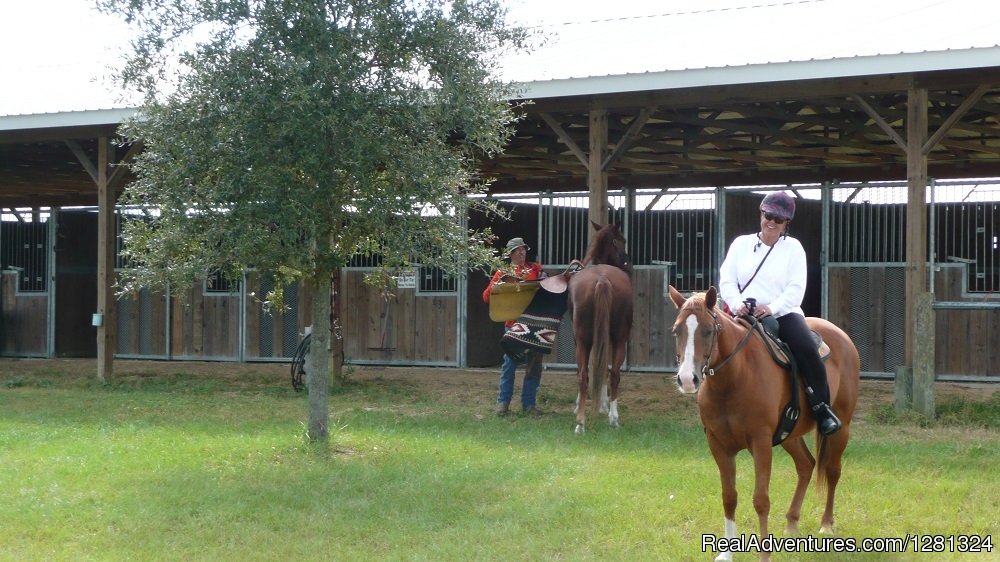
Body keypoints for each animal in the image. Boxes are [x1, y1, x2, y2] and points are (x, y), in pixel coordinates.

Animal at [572, 220, 632, 434]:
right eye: (622, 240)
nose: (628, 264)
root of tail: (602, 279)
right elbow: (604, 365)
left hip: (584, 341)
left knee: (584, 375)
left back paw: (582, 423)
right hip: (619, 338)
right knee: (614, 374)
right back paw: (612, 419)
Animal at [672, 286, 860, 556]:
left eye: (708, 330)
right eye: (677, 330)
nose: (687, 379)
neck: (735, 378)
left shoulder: (760, 443)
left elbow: (761, 500)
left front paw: (765, 554)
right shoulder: (718, 444)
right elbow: (729, 496)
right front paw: (726, 553)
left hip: (842, 426)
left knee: (833, 471)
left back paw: (826, 524)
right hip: (790, 434)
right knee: (806, 465)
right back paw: (791, 524)